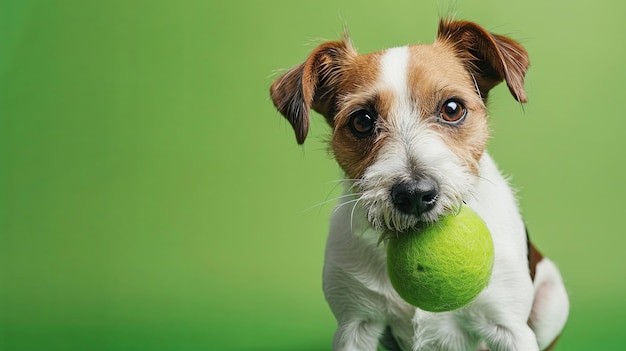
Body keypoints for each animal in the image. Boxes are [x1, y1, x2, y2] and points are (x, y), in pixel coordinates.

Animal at [266, 20, 568, 351]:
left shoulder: (509, 326)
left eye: (452, 108)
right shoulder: (355, 325)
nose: (413, 194)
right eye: (362, 120)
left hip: (553, 299)